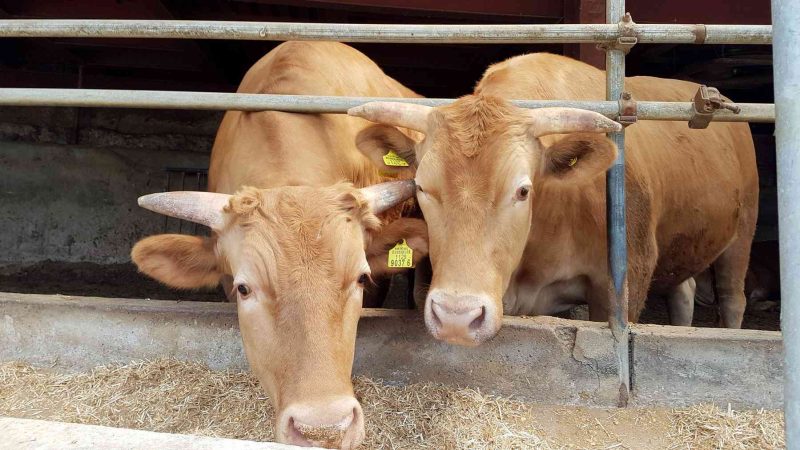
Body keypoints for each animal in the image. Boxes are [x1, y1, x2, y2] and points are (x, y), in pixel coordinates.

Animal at [350, 52, 758, 346]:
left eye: (523, 190)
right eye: (421, 186)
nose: (456, 318)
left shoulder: (623, 285)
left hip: (742, 233)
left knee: (732, 297)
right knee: (684, 289)